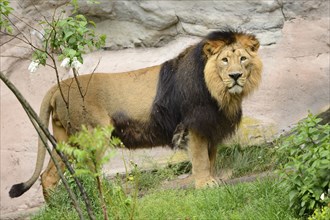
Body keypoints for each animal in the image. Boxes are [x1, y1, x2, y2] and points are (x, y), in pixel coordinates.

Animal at [8, 28, 262, 199]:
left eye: (243, 59)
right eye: (225, 60)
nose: (236, 76)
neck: (219, 92)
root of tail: (58, 86)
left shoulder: (211, 127)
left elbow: (211, 158)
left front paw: (211, 179)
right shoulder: (195, 125)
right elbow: (201, 159)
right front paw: (204, 185)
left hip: (68, 139)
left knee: (49, 176)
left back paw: (61, 207)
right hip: (92, 136)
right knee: (90, 173)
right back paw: (104, 196)